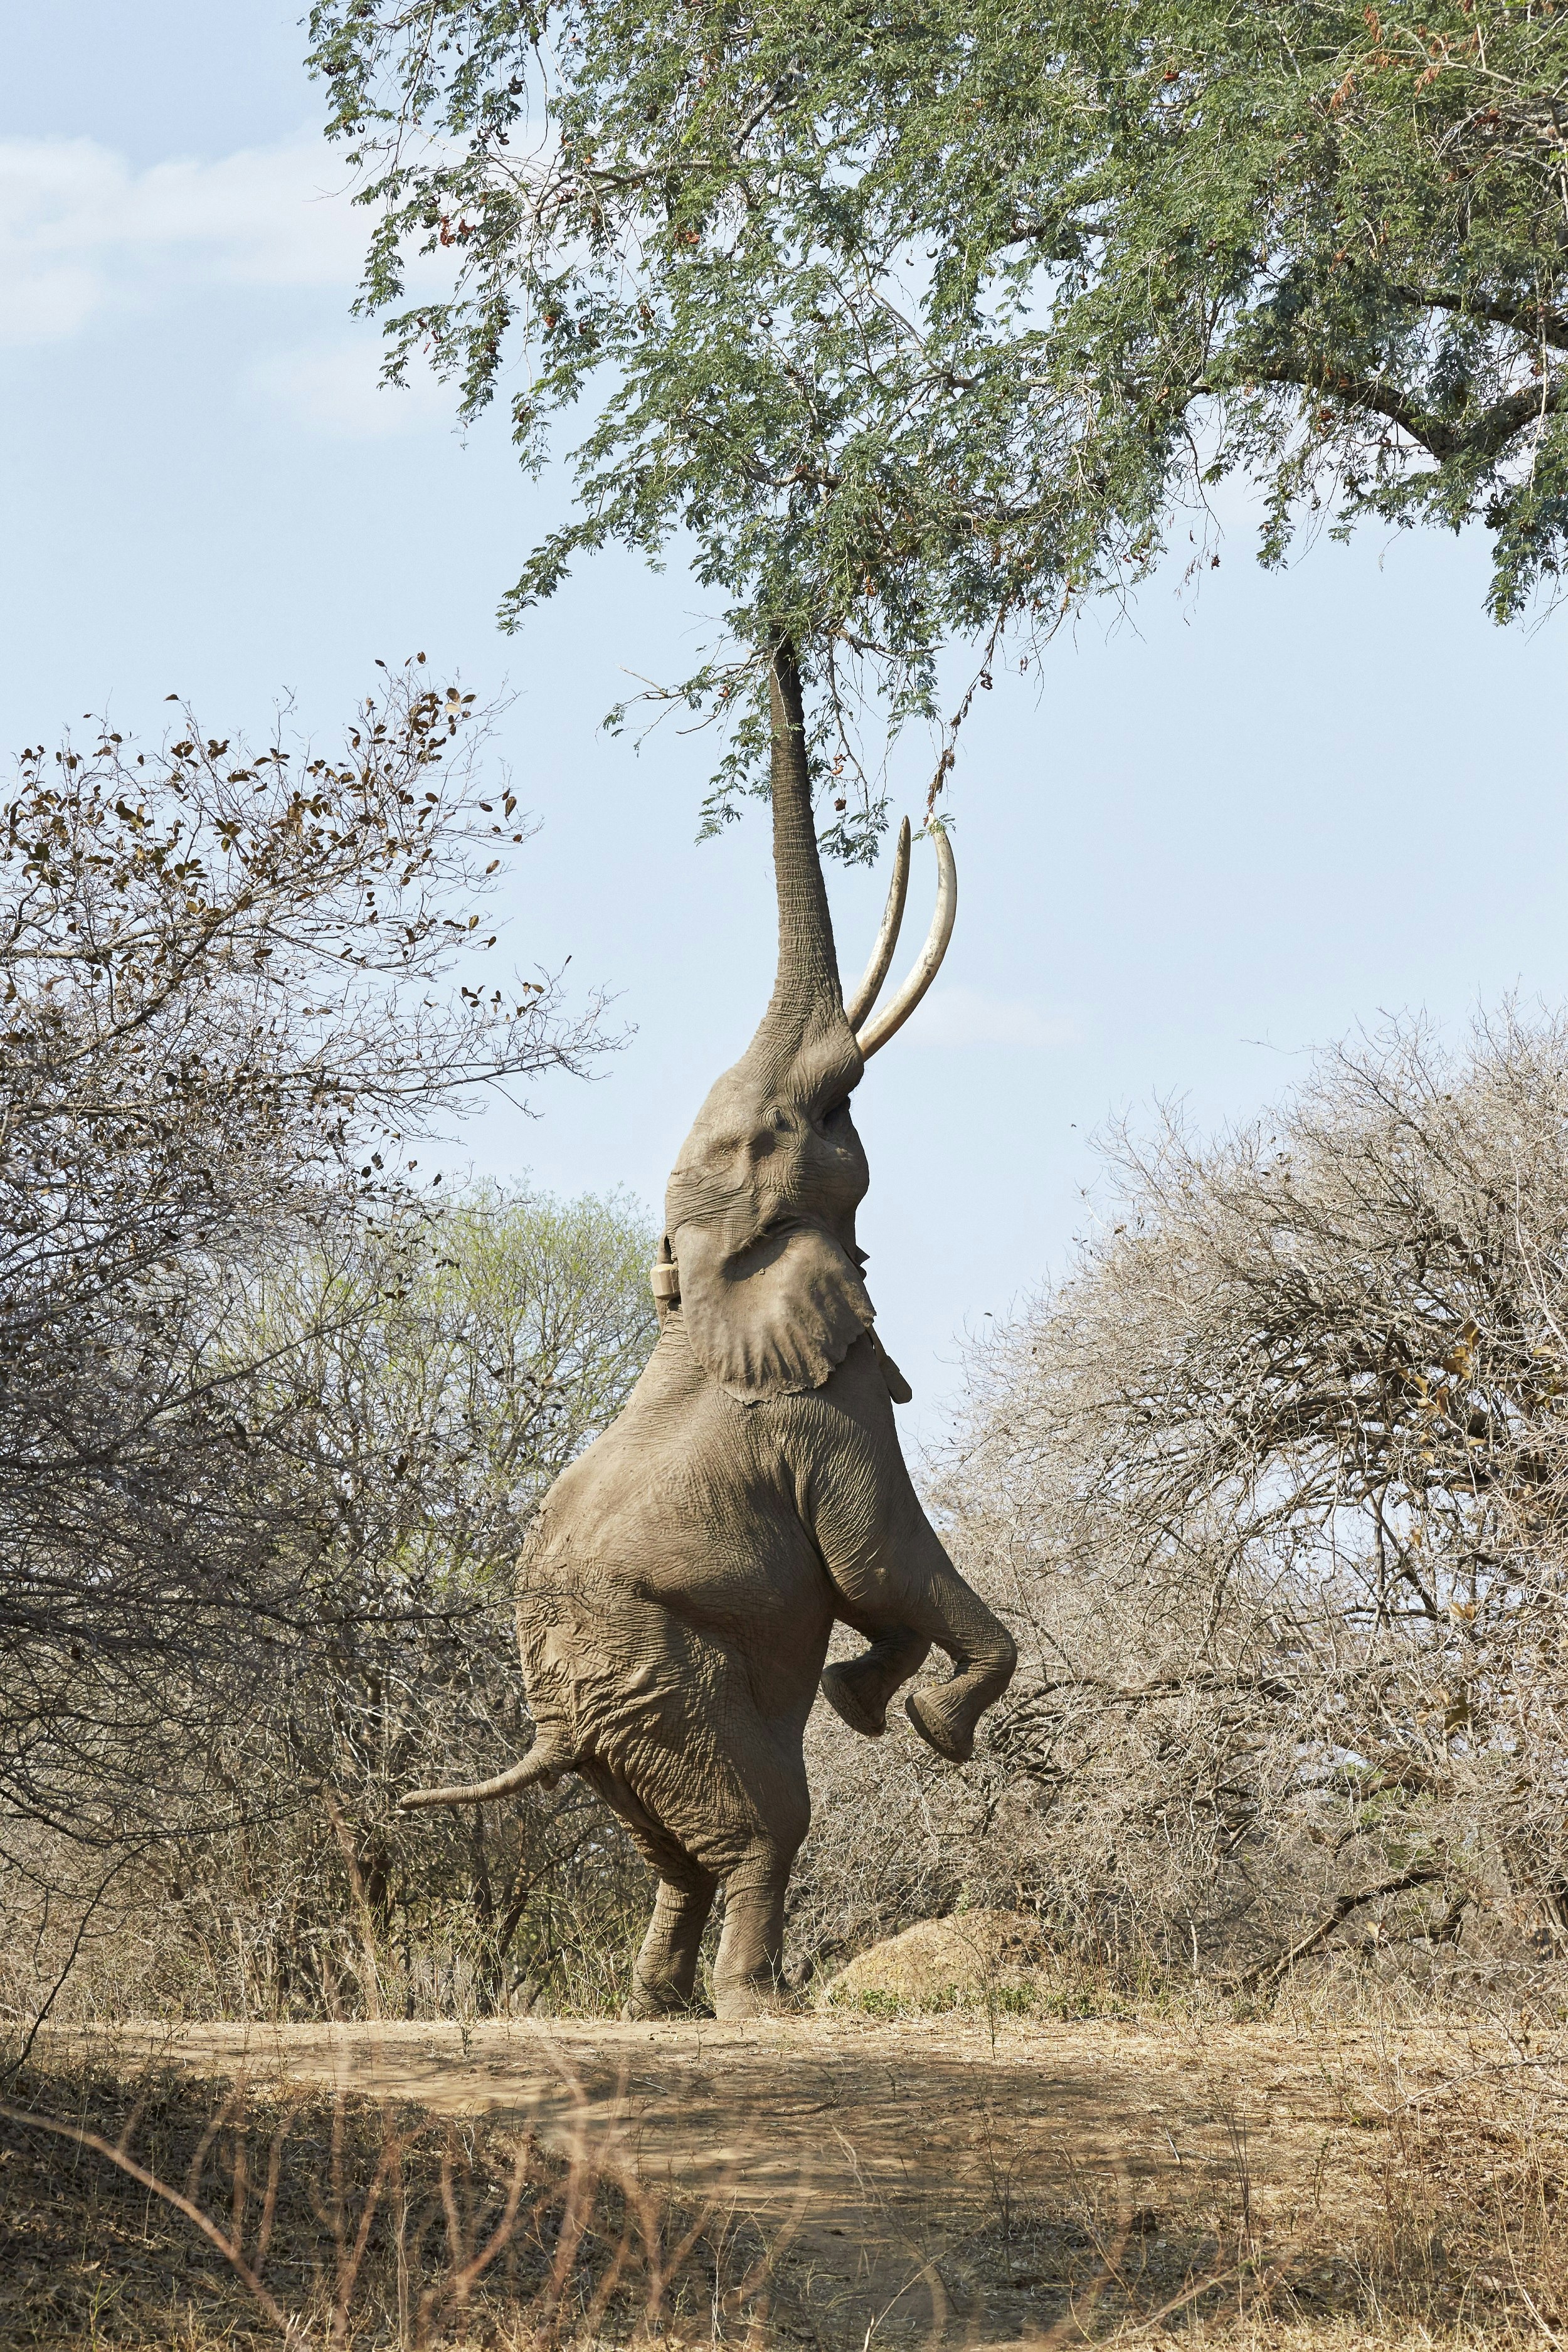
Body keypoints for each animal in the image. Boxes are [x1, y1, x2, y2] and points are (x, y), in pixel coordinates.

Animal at [404, 644, 1020, 2023]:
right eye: (815, 1118)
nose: (781, 644)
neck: (701, 1287)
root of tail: (555, 1727)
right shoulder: (827, 1413)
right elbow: (877, 1560)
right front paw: (923, 1721)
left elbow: (876, 1588)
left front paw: (862, 1696)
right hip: (656, 1677)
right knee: (762, 1824)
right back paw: (759, 2006)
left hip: (626, 1720)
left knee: (670, 1847)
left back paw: (659, 2005)